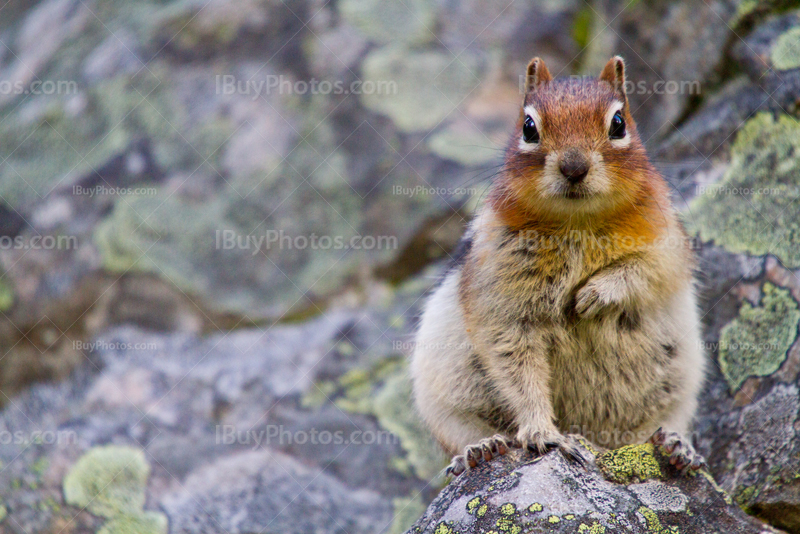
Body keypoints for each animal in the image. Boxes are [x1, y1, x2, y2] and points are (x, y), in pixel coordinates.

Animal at [412, 56, 708, 480]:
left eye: (619, 124)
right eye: (528, 127)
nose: (573, 166)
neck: (577, 221)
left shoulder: (667, 242)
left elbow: (645, 271)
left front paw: (593, 295)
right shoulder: (502, 291)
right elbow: (517, 369)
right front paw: (542, 433)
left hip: (679, 386)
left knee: (659, 423)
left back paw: (673, 445)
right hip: (443, 400)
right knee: (463, 432)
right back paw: (481, 449)